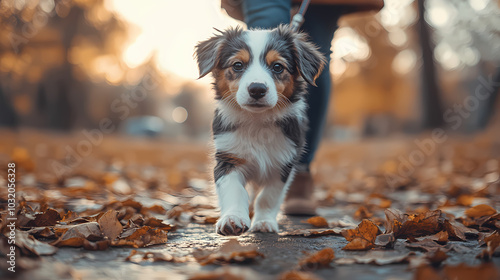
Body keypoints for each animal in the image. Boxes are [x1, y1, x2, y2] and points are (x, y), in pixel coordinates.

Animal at [195, 25, 324, 236]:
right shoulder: (228, 158)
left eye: (278, 67)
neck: (257, 121)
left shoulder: (283, 162)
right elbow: (234, 191)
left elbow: (268, 196)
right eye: (238, 65)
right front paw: (232, 219)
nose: (257, 89)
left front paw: (264, 222)